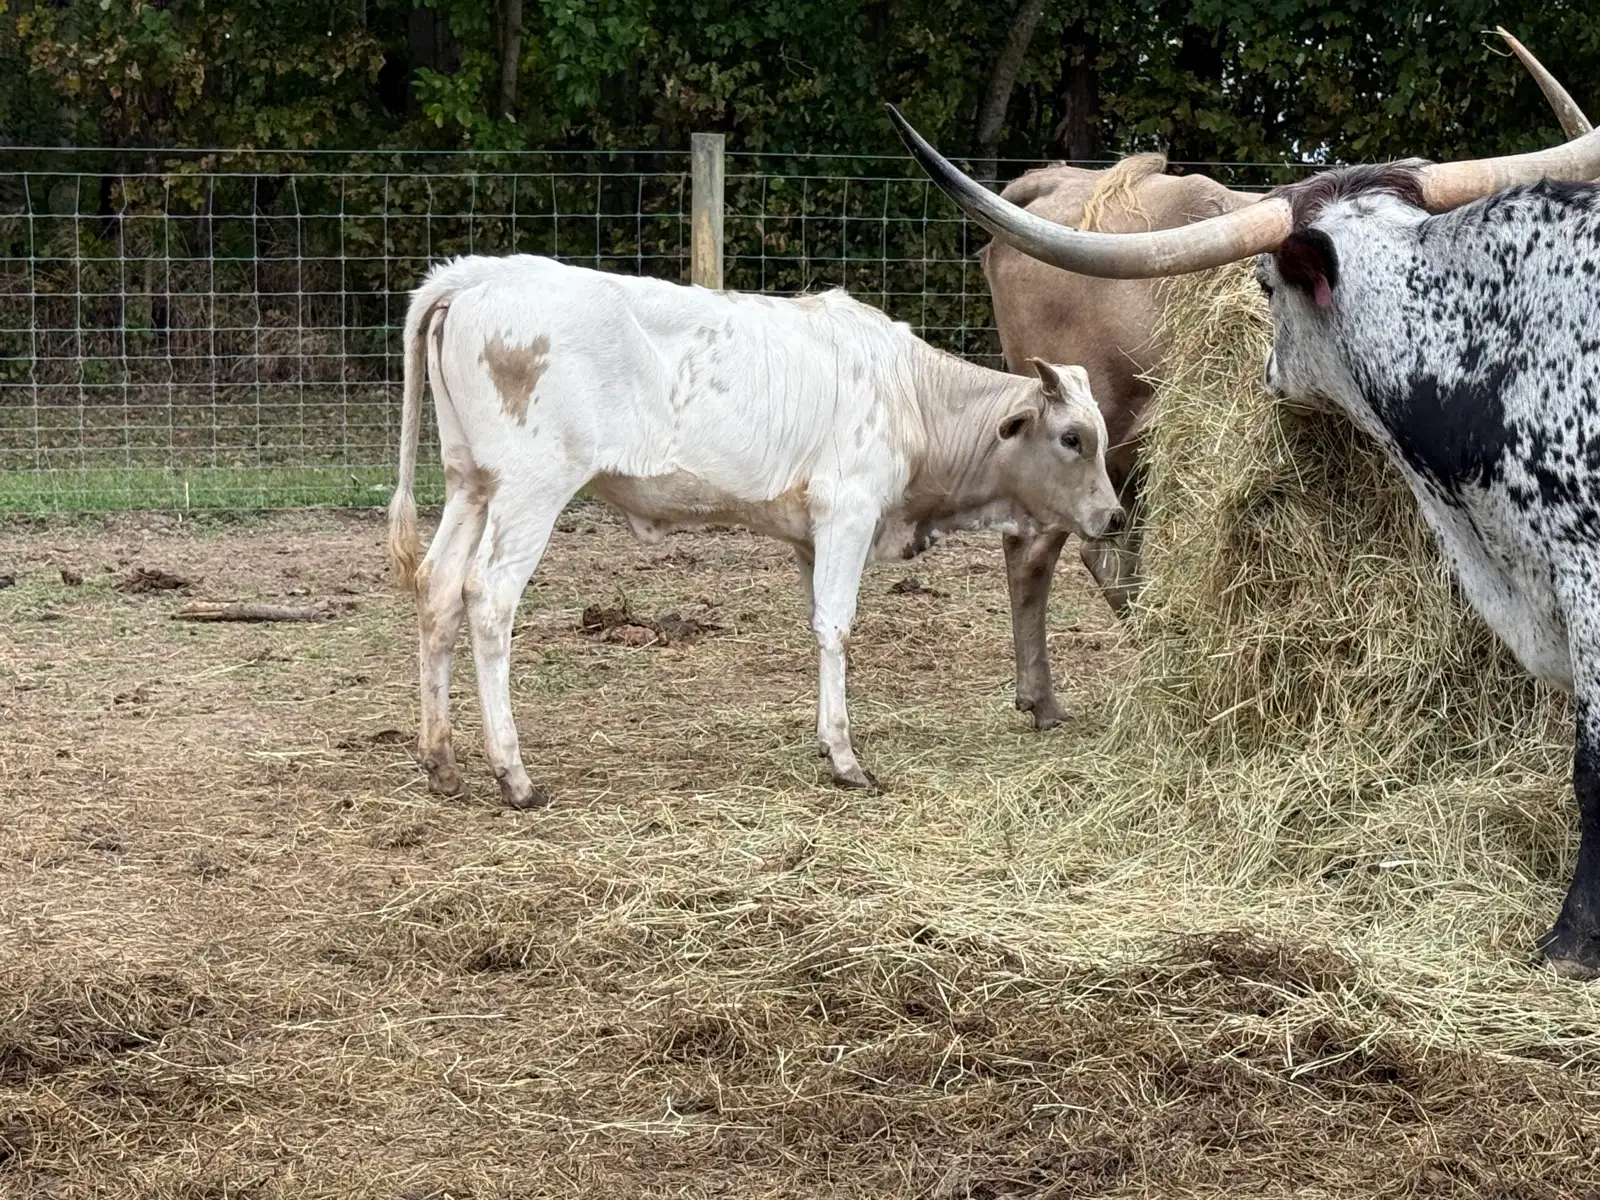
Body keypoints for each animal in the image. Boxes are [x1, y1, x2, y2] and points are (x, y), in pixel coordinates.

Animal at [386, 255, 1123, 807]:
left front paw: (826, 740)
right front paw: (846, 757)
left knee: (438, 588)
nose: (1113, 516)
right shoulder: (847, 510)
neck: (911, 394)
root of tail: (477, 276)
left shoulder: (809, 537)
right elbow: (837, 626)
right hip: (531, 488)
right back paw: (513, 775)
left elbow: (818, 625)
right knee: (488, 598)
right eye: (1072, 437)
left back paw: (441, 761)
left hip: (470, 483)